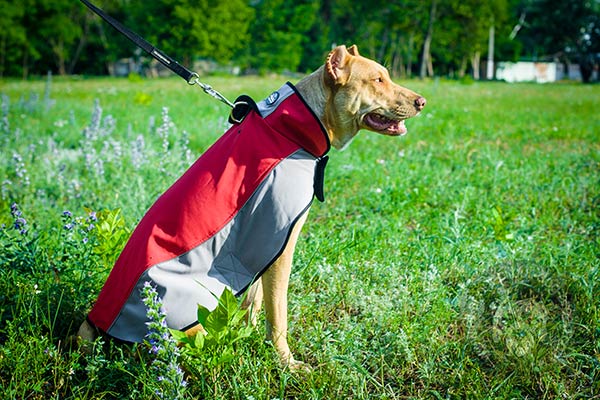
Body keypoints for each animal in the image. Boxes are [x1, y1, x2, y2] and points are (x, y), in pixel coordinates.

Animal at [78, 43, 426, 368]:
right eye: (377, 80)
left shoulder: (262, 245)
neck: (293, 130)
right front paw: (285, 362)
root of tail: (94, 324)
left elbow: (256, 302)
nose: (422, 102)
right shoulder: (280, 243)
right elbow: (278, 313)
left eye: (387, 76)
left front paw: (251, 334)